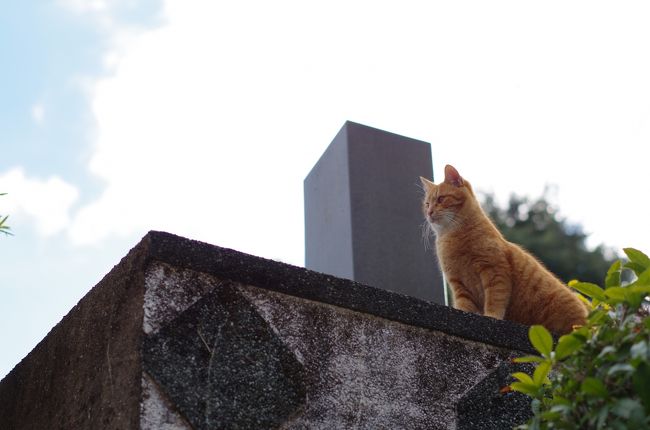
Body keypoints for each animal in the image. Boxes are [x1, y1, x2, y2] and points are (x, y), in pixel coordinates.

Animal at [420, 163, 588, 334]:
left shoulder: (495, 272)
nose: (429, 212)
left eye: (440, 199)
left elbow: (494, 301)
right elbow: (464, 306)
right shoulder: (459, 285)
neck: (451, 236)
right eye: (427, 204)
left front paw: (491, 317)